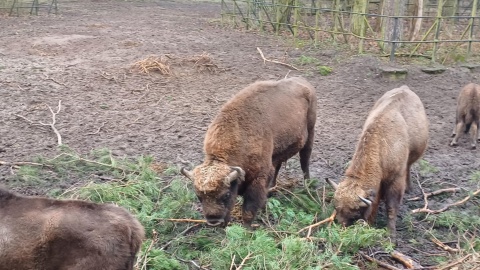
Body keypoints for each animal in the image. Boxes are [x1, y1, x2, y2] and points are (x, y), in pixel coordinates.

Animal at [180, 76, 316, 228]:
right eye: (199, 196)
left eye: (225, 194)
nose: (213, 220)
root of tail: (304, 82)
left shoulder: (258, 179)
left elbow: (249, 210)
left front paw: (246, 229)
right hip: (278, 151)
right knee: (278, 166)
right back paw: (272, 189)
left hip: (310, 133)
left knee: (305, 160)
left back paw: (308, 187)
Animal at [326, 85, 428, 238]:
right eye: (336, 207)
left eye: (355, 211)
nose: (342, 226)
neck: (381, 145)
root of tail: (405, 87)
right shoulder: (378, 183)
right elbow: (374, 203)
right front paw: (370, 224)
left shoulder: (396, 179)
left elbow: (391, 207)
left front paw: (391, 235)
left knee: (409, 167)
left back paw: (409, 188)